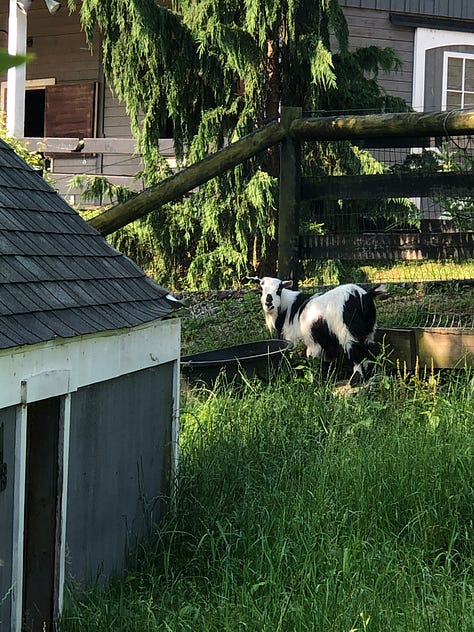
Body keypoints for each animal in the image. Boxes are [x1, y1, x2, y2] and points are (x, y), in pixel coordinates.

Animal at [248, 276, 386, 380]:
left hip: (347, 333)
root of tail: (363, 296)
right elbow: (325, 363)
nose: (268, 303)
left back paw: (356, 379)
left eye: (279, 289)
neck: (287, 308)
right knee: (368, 352)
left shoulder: (298, 342)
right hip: (368, 332)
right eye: (261, 288)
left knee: (356, 354)